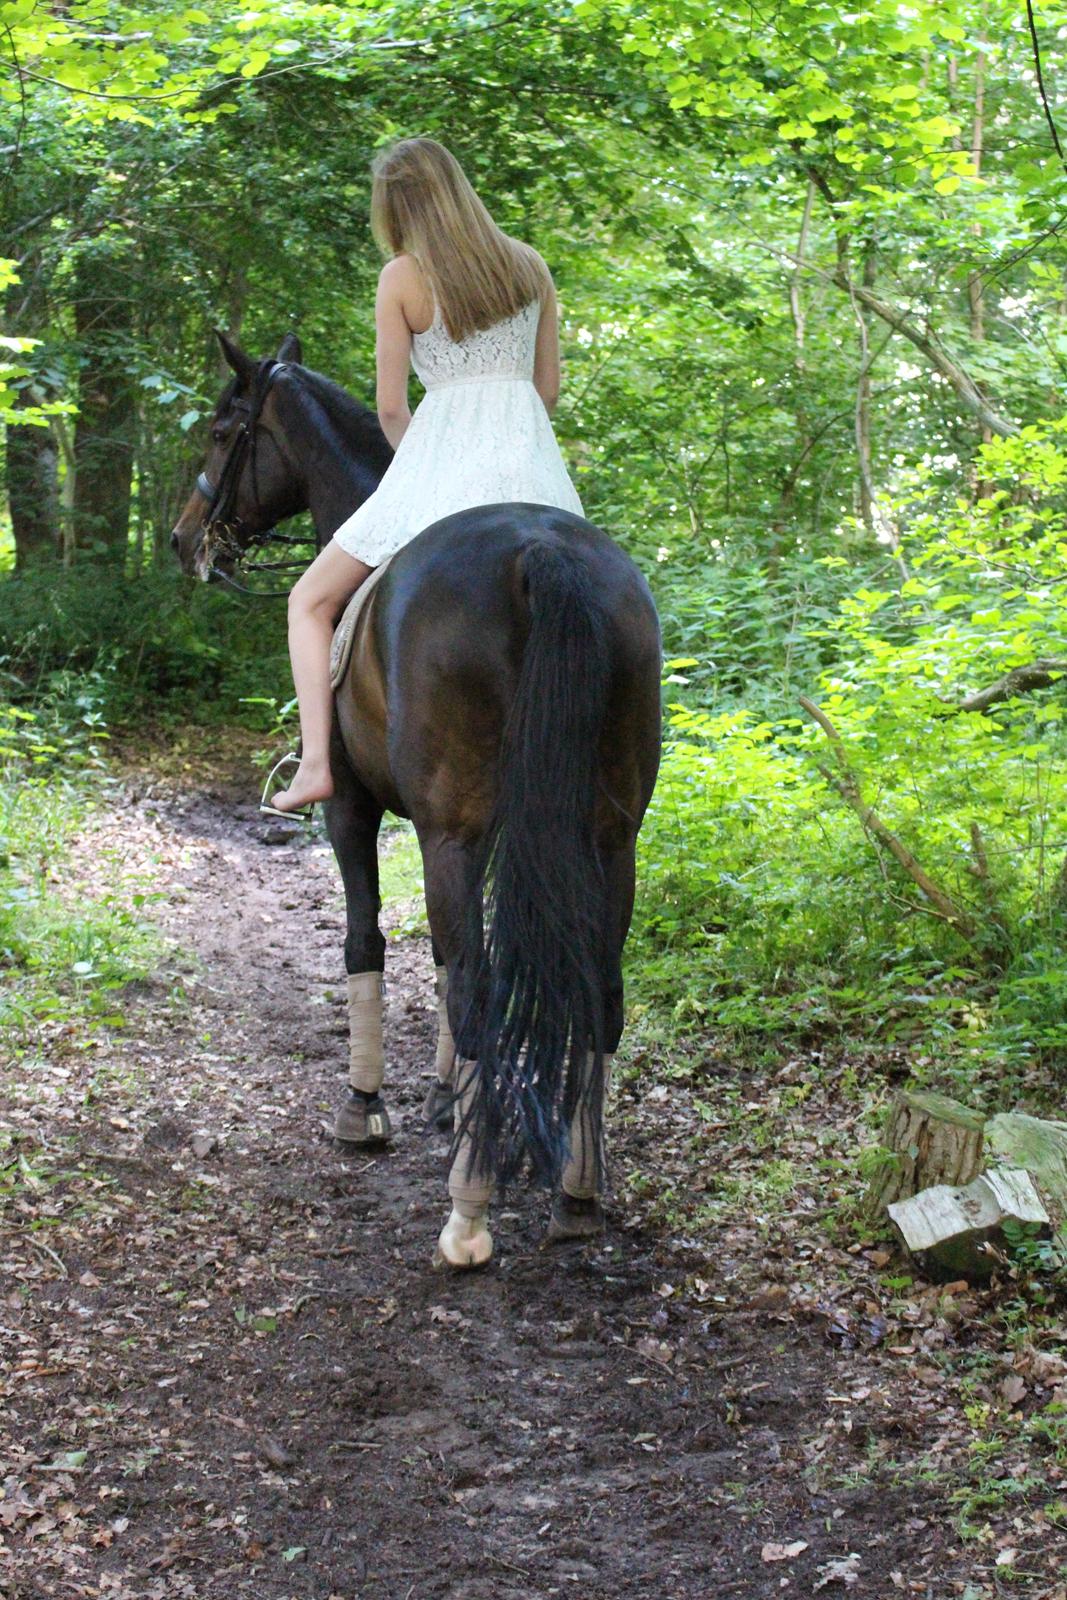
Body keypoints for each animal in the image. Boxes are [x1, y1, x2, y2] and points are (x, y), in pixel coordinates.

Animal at [171, 331, 659, 1267]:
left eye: (222, 433)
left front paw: (365, 1107)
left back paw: (467, 1216)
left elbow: (369, 942)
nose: (184, 540)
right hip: (609, 837)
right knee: (598, 994)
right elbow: (443, 953)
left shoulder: (360, 813)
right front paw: (445, 1096)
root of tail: (539, 554)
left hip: (454, 829)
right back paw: (576, 1192)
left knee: (474, 987)